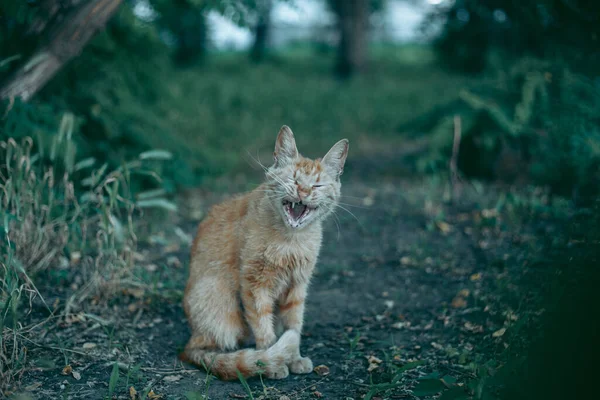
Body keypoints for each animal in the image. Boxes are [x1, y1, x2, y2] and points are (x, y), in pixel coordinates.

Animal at [183, 126, 350, 380]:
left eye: (317, 186)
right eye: (293, 179)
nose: (303, 191)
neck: (291, 241)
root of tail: (190, 341)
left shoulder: (297, 286)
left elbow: (293, 325)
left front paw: (294, 357)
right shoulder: (254, 285)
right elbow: (264, 327)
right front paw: (270, 361)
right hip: (218, 299)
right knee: (213, 348)